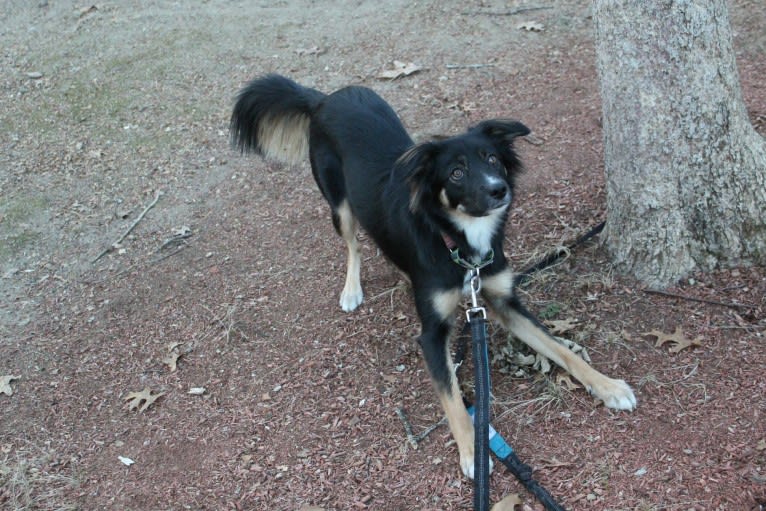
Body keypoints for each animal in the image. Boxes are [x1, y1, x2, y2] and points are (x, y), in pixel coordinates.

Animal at [231, 75, 640, 480]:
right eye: (456, 173)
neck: (459, 243)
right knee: (352, 244)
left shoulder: (503, 300)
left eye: (492, 159)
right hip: (339, 203)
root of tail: (323, 99)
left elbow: (559, 348)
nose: (499, 189)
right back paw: (352, 289)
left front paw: (607, 385)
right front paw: (473, 452)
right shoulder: (431, 334)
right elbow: (454, 398)